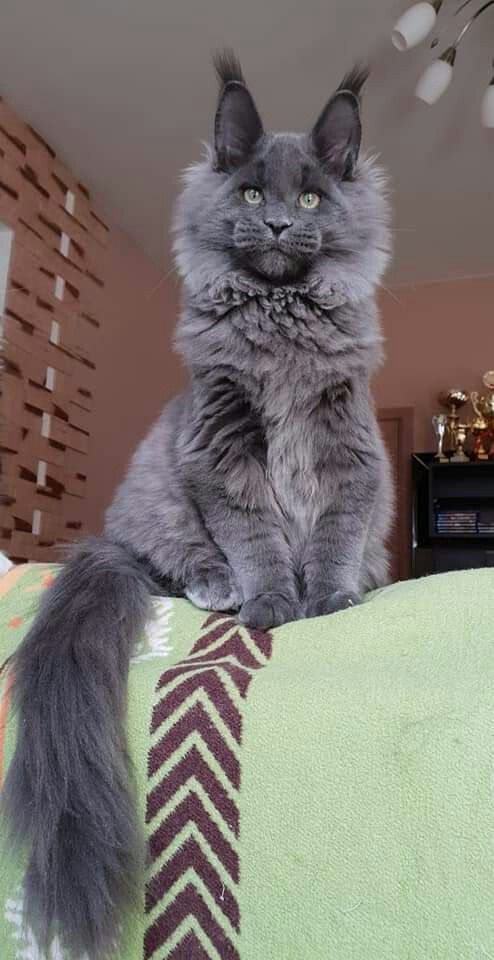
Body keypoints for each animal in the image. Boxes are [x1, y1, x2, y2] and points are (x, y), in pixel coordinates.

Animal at [1, 54, 392, 960]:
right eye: (250, 193)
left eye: (311, 200)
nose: (278, 225)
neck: (282, 330)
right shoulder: (219, 452)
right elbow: (258, 544)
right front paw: (274, 607)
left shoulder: (349, 453)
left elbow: (334, 537)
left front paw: (332, 600)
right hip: (161, 503)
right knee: (180, 566)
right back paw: (221, 592)